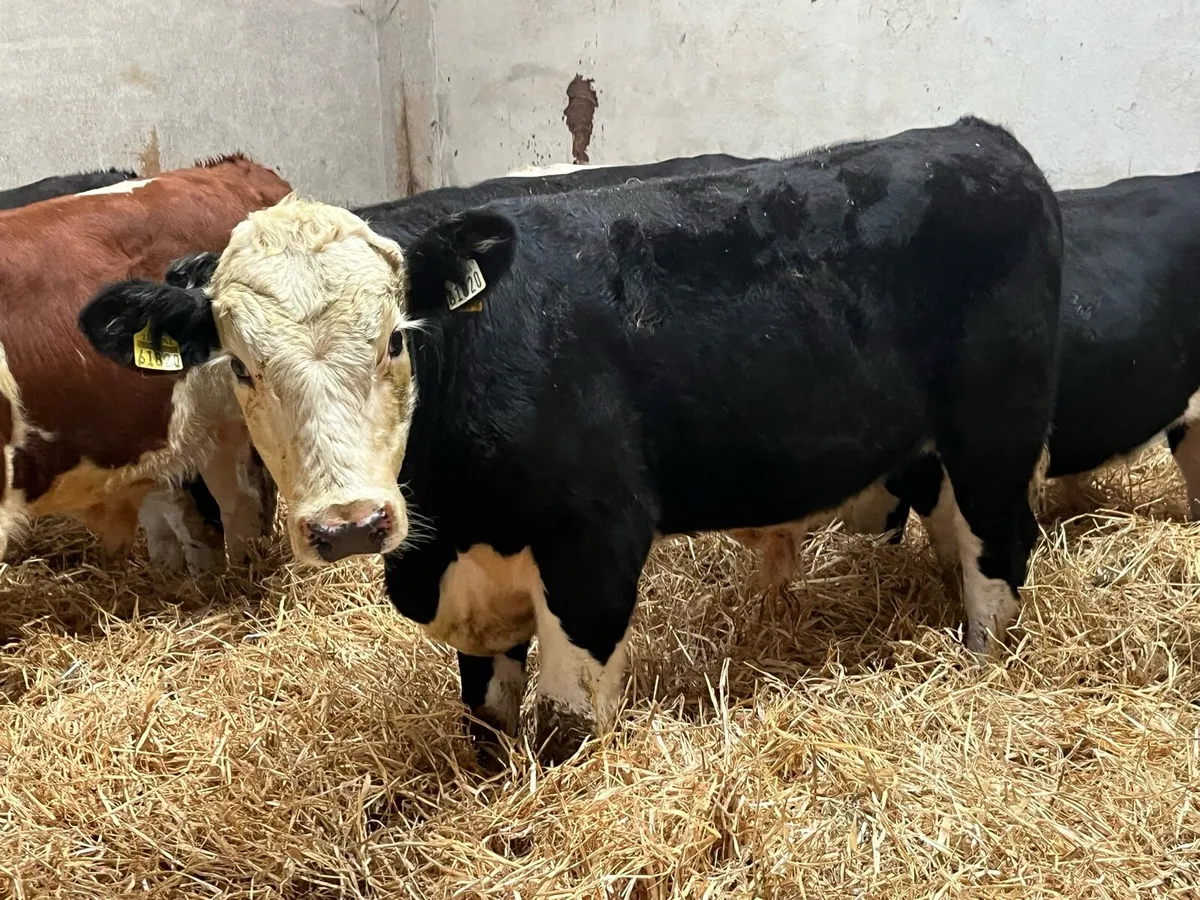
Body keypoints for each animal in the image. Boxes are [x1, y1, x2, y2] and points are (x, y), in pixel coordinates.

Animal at [79, 117, 1064, 762]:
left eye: (396, 337)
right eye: (242, 365)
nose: (350, 525)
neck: (446, 525)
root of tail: (979, 138)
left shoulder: (596, 539)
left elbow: (564, 722)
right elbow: (483, 713)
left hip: (996, 429)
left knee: (998, 553)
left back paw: (983, 661)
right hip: (936, 451)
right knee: (958, 538)